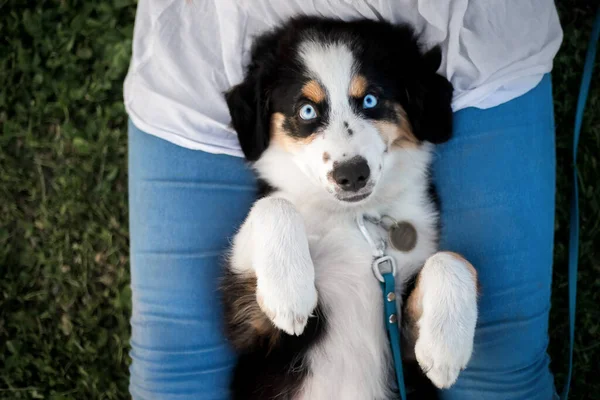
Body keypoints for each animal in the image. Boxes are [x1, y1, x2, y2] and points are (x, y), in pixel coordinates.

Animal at [220, 16, 478, 400]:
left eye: (370, 99)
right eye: (307, 111)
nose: (352, 174)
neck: (354, 220)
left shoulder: (403, 350)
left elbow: (451, 258)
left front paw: (445, 349)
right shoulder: (254, 331)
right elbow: (274, 203)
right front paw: (288, 293)